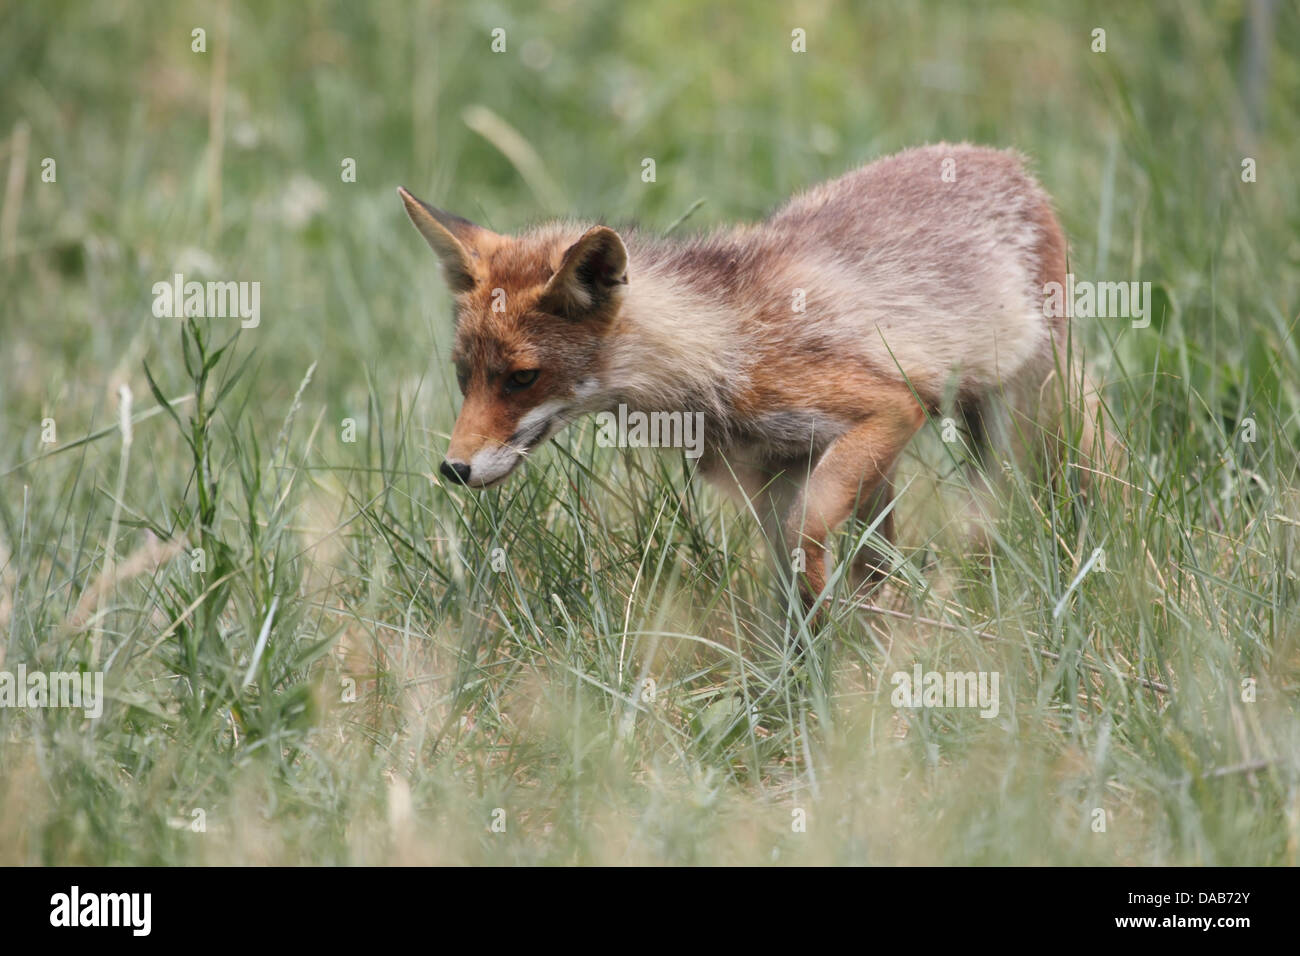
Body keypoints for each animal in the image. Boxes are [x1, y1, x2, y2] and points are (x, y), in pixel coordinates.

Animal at [395, 143, 1107, 613]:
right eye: (464, 377)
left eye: (522, 378)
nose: (453, 469)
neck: (721, 353)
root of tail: (1002, 158)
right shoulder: (773, 473)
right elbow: (796, 573)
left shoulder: (886, 408)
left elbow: (807, 538)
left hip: (1031, 410)